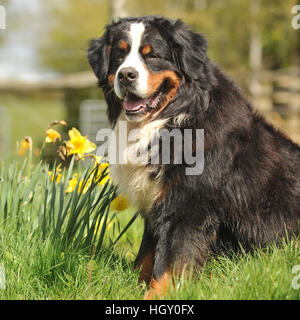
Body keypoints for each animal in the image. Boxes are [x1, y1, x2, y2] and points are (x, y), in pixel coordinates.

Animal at [88, 16, 300, 298]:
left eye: (152, 55)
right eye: (119, 55)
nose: (126, 75)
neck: (171, 119)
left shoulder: (187, 206)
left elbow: (170, 262)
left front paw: (158, 295)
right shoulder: (155, 203)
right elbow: (146, 256)